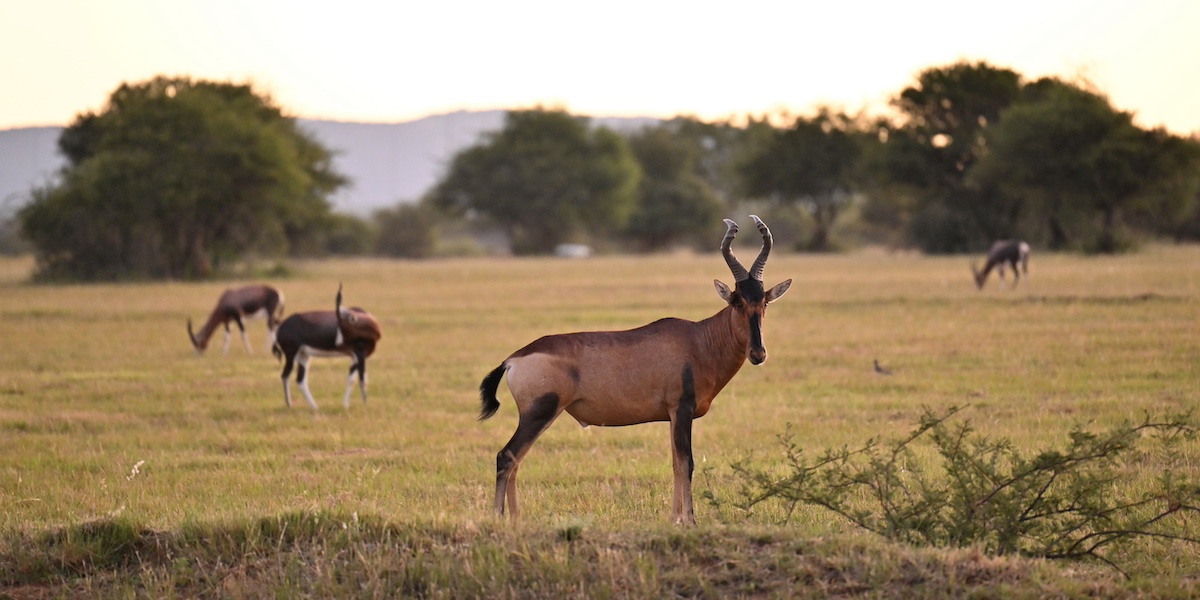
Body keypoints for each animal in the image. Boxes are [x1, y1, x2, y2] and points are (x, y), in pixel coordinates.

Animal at [477, 217, 796, 525]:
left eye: (764, 301)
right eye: (737, 301)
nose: (758, 354)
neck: (697, 339)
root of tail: (512, 359)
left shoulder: (672, 416)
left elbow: (675, 463)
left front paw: (674, 519)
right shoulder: (682, 410)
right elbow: (687, 463)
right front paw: (690, 521)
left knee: (516, 461)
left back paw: (516, 519)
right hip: (539, 413)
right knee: (506, 457)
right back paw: (499, 518)